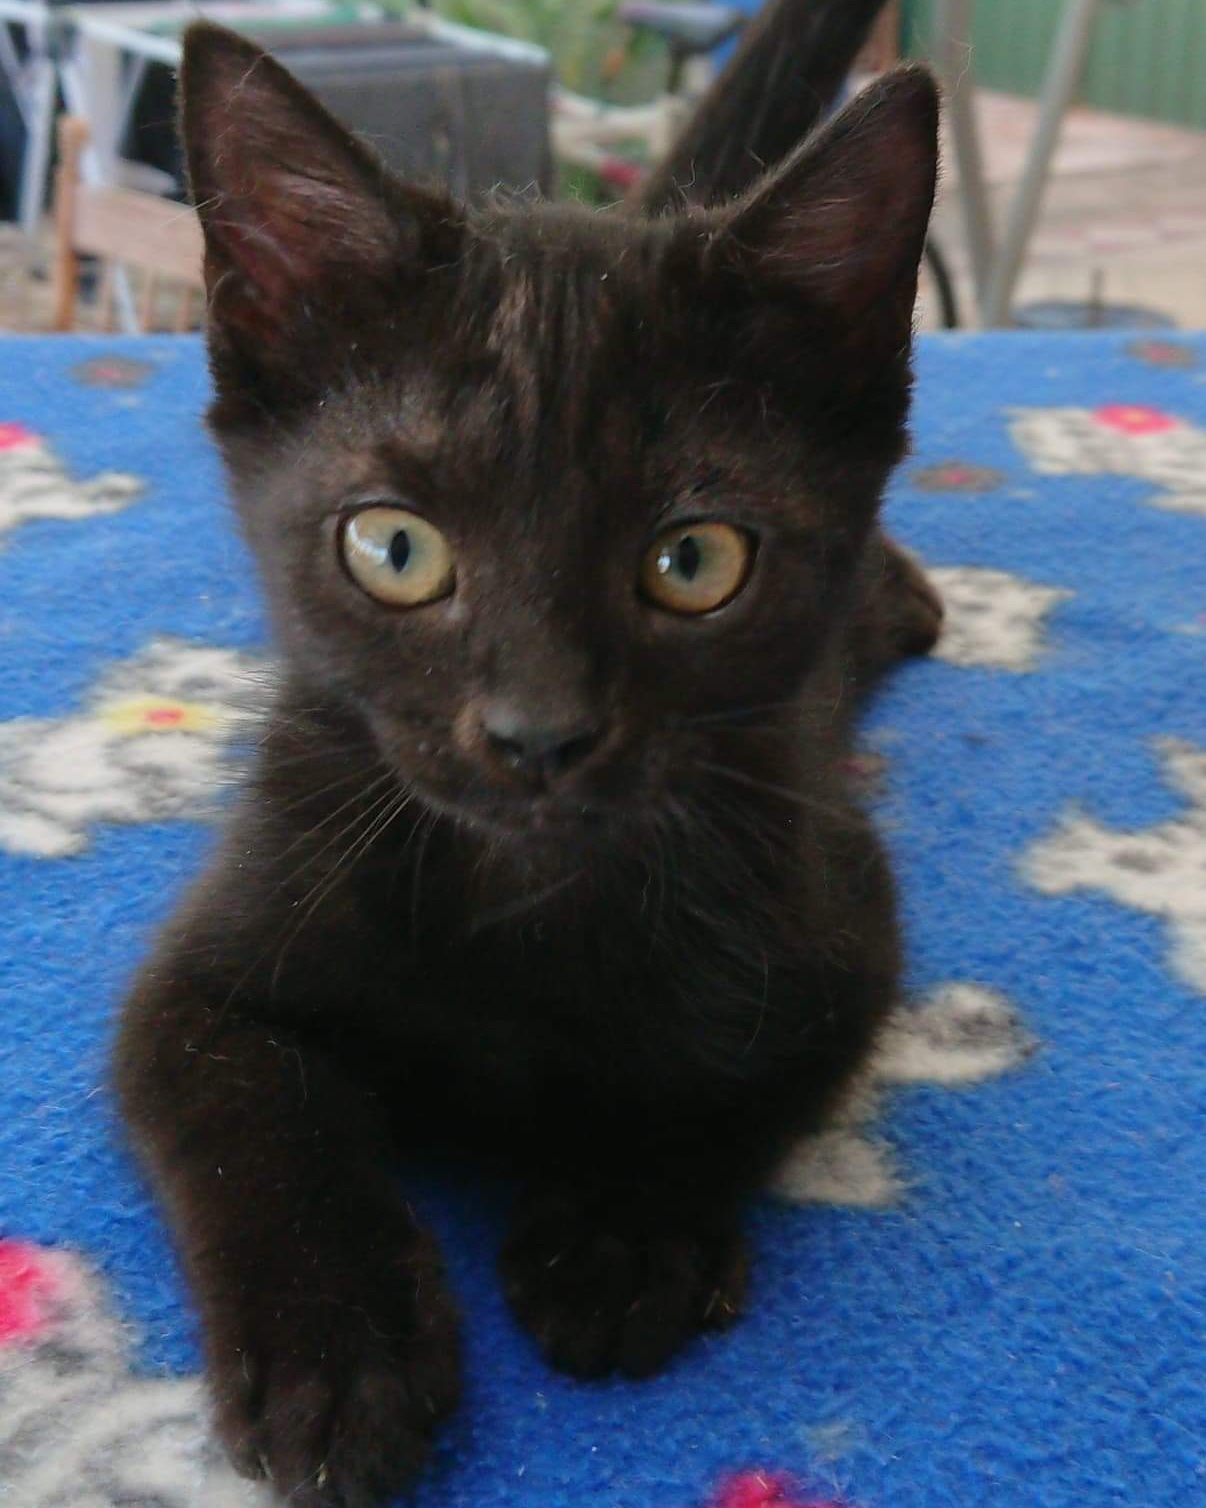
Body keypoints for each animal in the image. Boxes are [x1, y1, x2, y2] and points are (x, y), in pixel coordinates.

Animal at [114, 2, 943, 1503]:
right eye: (393, 549)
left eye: (694, 561)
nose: (538, 730)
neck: (523, 892)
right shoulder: (202, 965)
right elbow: (248, 1104)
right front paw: (336, 1353)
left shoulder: (835, 925)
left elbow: (735, 1079)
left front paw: (616, 1229)